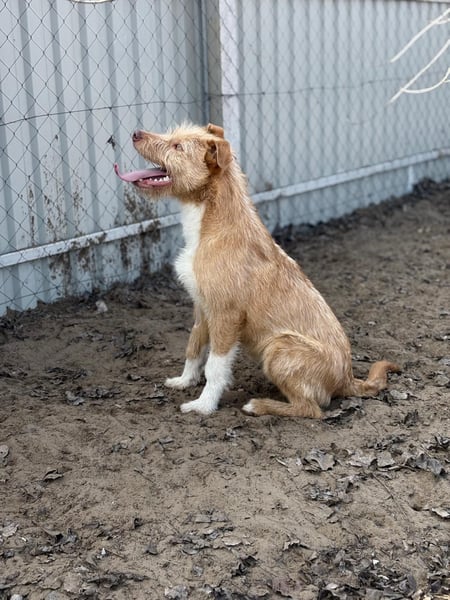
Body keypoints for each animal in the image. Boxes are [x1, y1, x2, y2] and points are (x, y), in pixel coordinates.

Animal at [114, 123, 400, 417]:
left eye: (177, 147)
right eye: (172, 137)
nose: (135, 133)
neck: (210, 224)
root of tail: (348, 378)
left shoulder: (227, 315)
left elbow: (215, 366)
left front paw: (204, 405)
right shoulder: (202, 308)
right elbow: (193, 348)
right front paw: (184, 381)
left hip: (279, 347)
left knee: (311, 409)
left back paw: (258, 405)